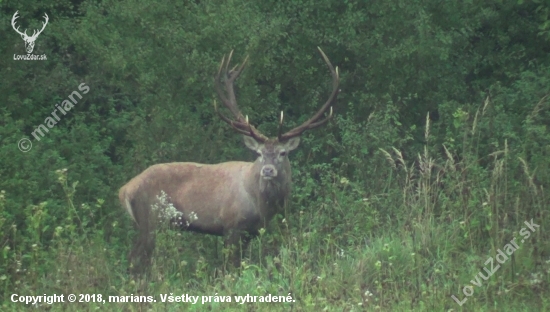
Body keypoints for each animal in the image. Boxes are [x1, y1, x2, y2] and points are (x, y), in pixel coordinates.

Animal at [118, 47, 338, 272]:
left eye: (283, 153)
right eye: (259, 153)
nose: (268, 170)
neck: (261, 204)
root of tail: (125, 190)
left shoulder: (251, 231)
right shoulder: (231, 225)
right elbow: (231, 268)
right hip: (151, 219)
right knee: (135, 258)